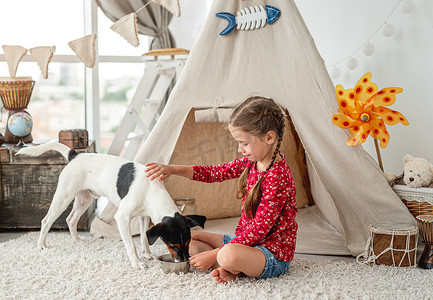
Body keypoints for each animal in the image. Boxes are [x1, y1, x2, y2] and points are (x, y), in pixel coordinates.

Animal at [16, 143, 205, 270]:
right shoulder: (122, 217)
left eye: (188, 242)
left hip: (84, 198)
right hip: (63, 197)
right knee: (46, 221)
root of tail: (76, 155)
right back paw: (42, 245)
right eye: (174, 245)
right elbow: (131, 244)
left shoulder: (144, 216)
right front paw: (137, 262)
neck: (151, 189)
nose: (184, 261)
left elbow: (144, 238)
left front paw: (147, 254)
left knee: (71, 219)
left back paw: (77, 240)